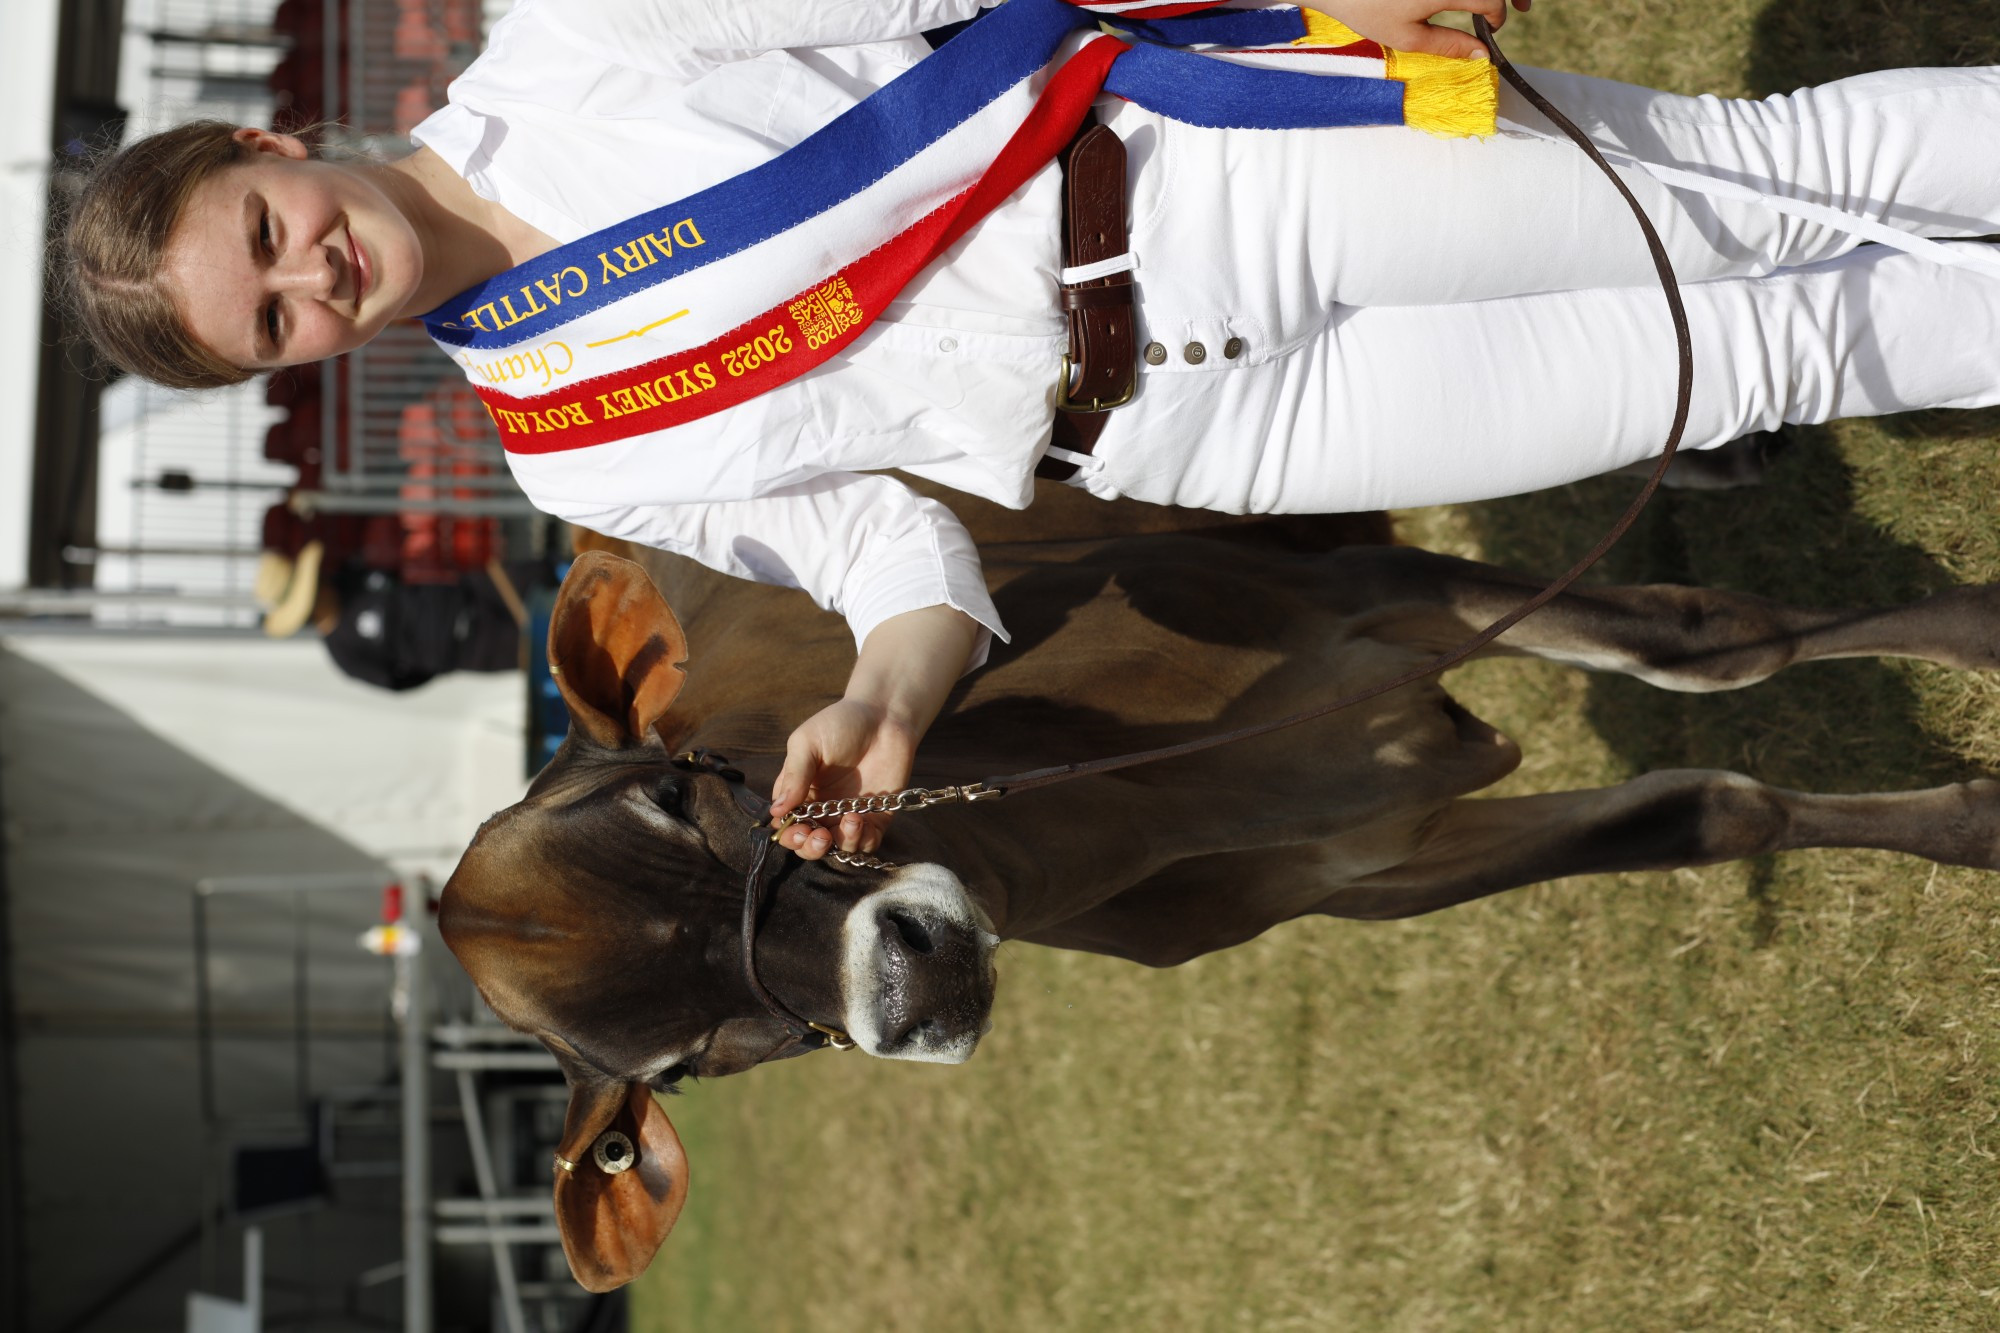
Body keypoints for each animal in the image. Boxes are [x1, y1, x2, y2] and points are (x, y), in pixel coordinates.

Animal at [446, 510, 2000, 1288]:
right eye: (686, 1062)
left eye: (689, 792)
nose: (909, 974)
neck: (1134, 795)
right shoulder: (1364, 869)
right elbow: (1707, 810)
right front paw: (1975, 816)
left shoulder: (1366, 595)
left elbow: (1716, 641)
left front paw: (1975, 641)